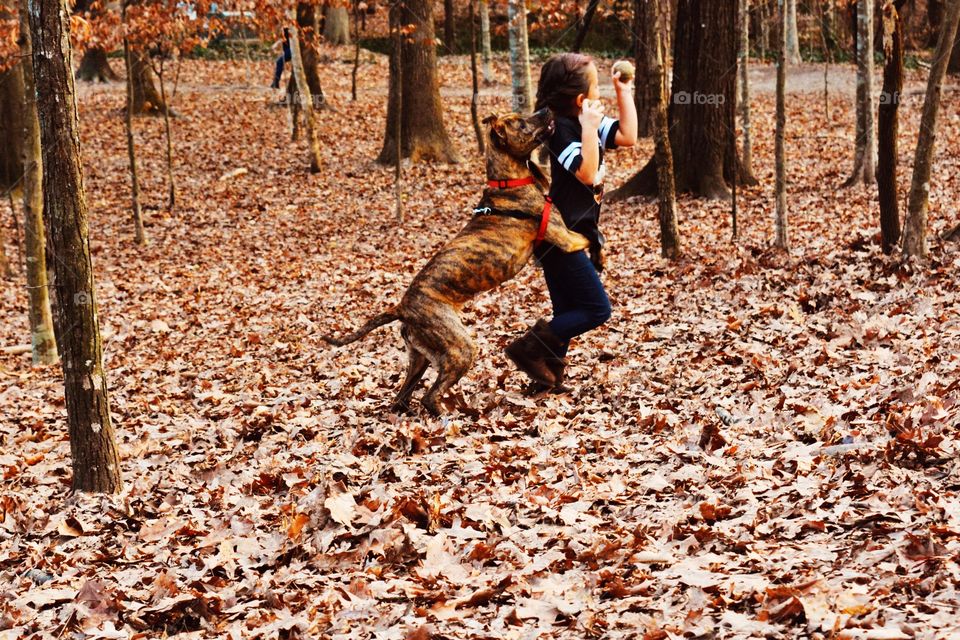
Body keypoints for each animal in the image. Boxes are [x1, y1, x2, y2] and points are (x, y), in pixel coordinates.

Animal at [326, 111, 588, 416]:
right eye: (522, 123)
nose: (546, 110)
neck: (508, 183)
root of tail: (402, 307)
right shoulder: (566, 237)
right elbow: (589, 238)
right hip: (460, 348)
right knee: (430, 395)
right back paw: (454, 417)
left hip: (420, 356)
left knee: (402, 396)